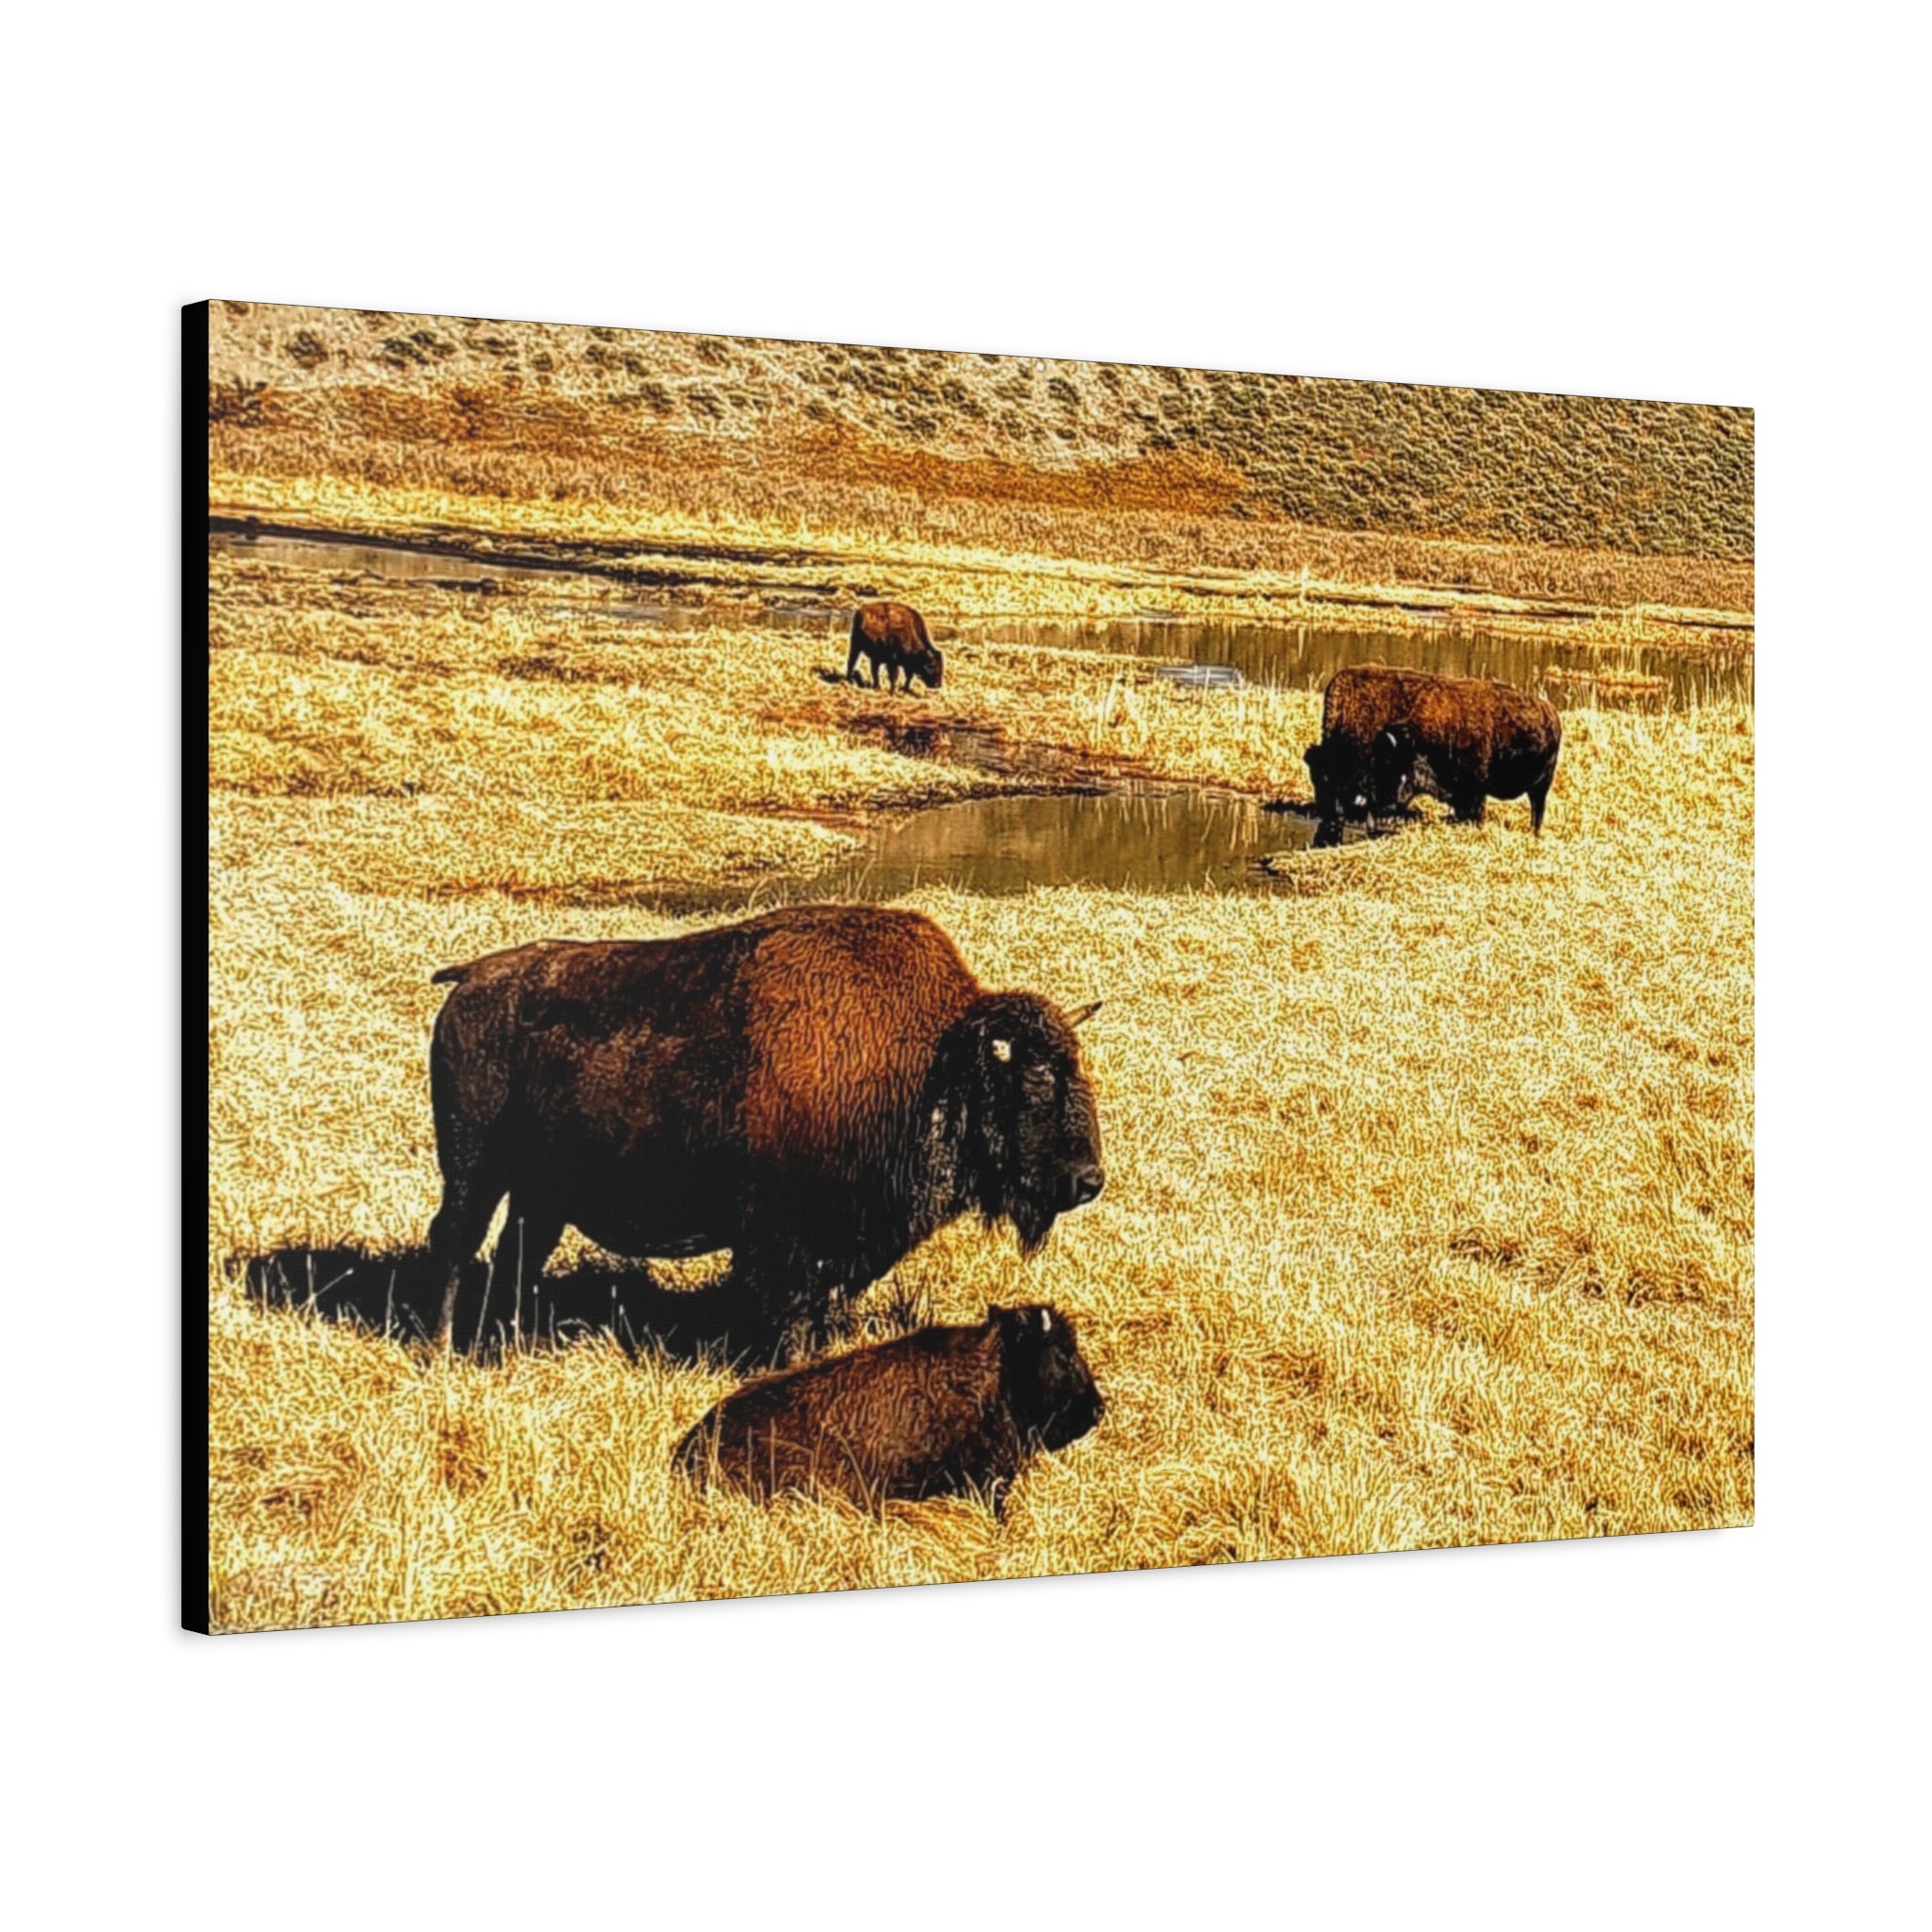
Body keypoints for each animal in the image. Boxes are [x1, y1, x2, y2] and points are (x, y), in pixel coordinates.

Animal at [425, 906, 1103, 1356]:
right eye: (1034, 1078)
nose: (1088, 1180)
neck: (932, 1060)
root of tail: (472, 977)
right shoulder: (783, 1241)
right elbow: (789, 1310)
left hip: (540, 1192)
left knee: (518, 1253)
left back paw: (509, 1341)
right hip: (471, 1170)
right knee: (455, 1243)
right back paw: (443, 1348)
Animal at [1304, 664, 1562, 848]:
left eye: (1331, 779)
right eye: (1315, 779)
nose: (1326, 813)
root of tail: (1551, 713)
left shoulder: (1475, 790)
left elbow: (1475, 813)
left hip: (1541, 786)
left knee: (1537, 809)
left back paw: (1534, 833)